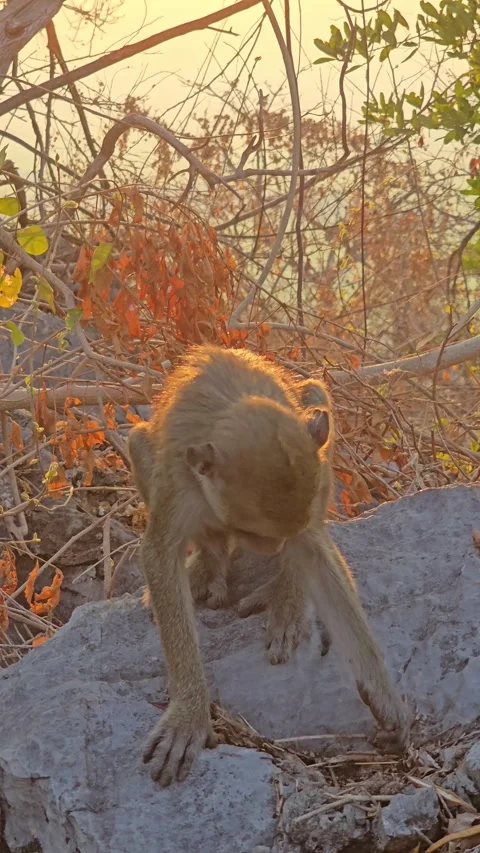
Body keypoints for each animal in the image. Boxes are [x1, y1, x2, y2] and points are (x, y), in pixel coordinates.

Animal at [128, 345, 411, 787]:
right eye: (252, 532)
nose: (274, 547)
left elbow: (315, 551)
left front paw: (382, 691)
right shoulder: (179, 478)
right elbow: (159, 556)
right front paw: (190, 713)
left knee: (315, 398)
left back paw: (286, 595)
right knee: (139, 440)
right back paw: (209, 560)